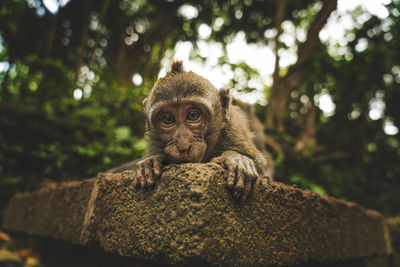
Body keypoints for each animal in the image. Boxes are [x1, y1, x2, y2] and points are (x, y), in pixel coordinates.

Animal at [109, 61, 272, 202]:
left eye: (193, 115)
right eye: (168, 119)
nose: (183, 144)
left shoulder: (232, 129)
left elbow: (260, 163)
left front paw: (236, 159)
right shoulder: (152, 140)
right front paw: (153, 162)